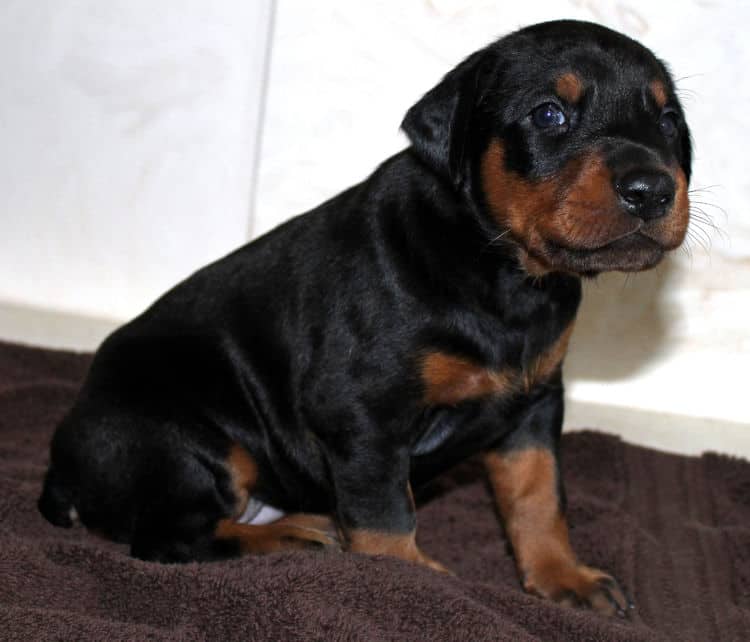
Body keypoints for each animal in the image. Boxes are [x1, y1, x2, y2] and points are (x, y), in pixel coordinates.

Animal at [38, 20, 692, 616]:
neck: (502, 275)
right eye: (550, 114)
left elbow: (538, 496)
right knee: (171, 540)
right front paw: (410, 581)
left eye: (667, 120)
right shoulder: (361, 411)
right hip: (183, 437)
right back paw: (294, 537)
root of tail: (62, 467)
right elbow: (384, 515)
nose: (652, 189)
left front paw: (564, 578)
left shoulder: (533, 404)